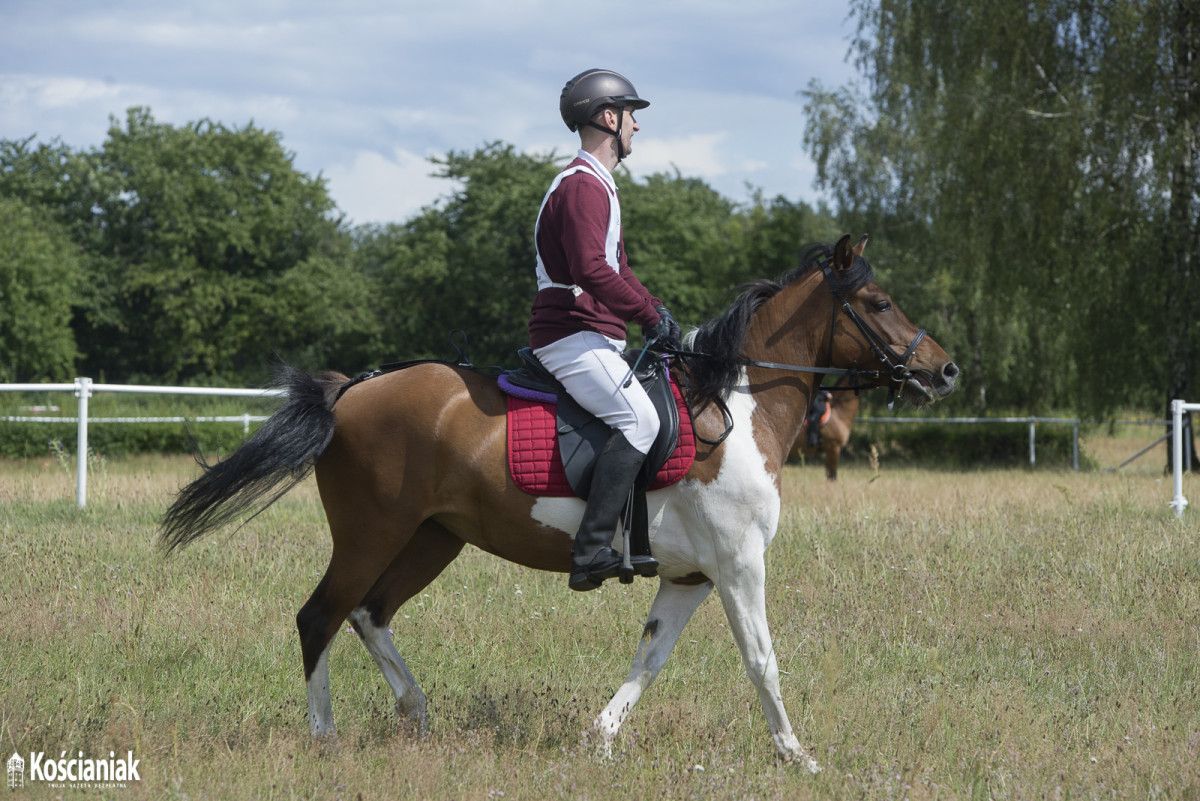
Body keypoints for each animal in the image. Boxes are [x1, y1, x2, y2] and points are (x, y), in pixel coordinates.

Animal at [159, 235, 960, 772]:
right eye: (880, 303)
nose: (944, 369)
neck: (735, 404)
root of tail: (355, 387)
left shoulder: (690, 578)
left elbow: (651, 656)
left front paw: (597, 740)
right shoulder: (738, 568)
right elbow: (763, 660)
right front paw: (799, 758)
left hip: (432, 538)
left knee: (369, 613)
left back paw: (416, 711)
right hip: (371, 534)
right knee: (320, 615)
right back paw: (324, 739)